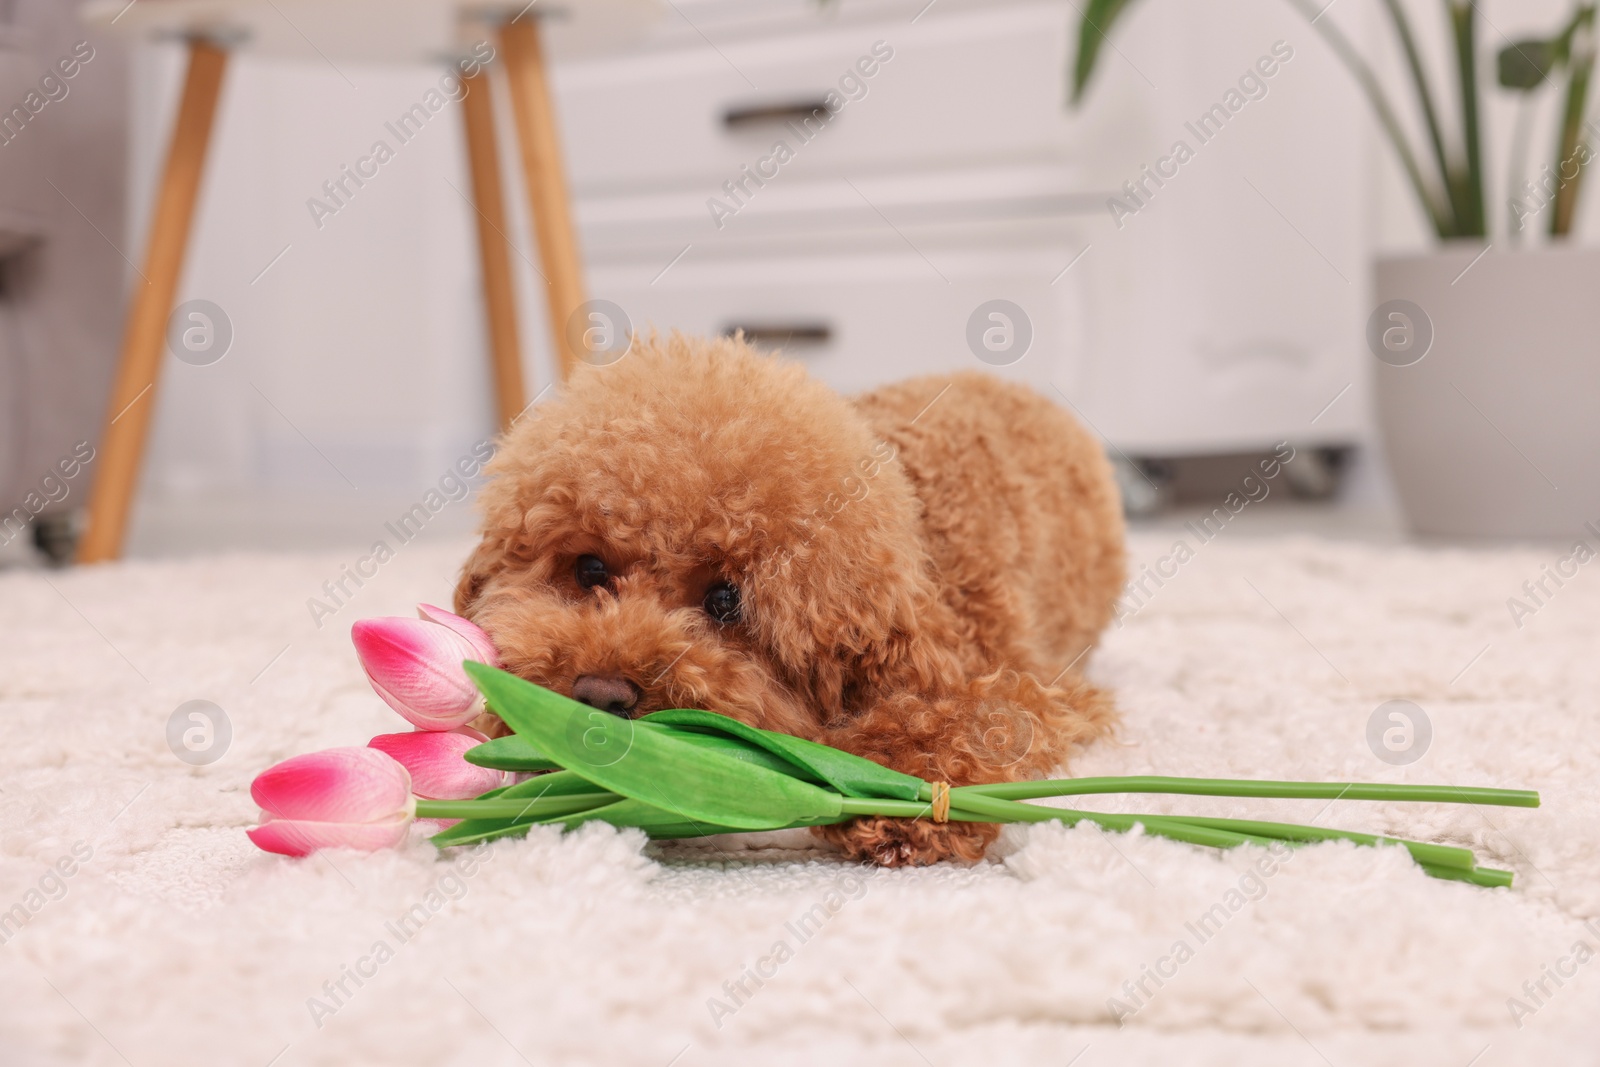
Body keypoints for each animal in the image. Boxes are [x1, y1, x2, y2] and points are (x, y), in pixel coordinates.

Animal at [451, 334, 1126, 870]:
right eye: (589, 568)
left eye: (726, 600)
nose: (598, 696)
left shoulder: (1034, 685)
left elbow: (974, 720)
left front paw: (899, 798)